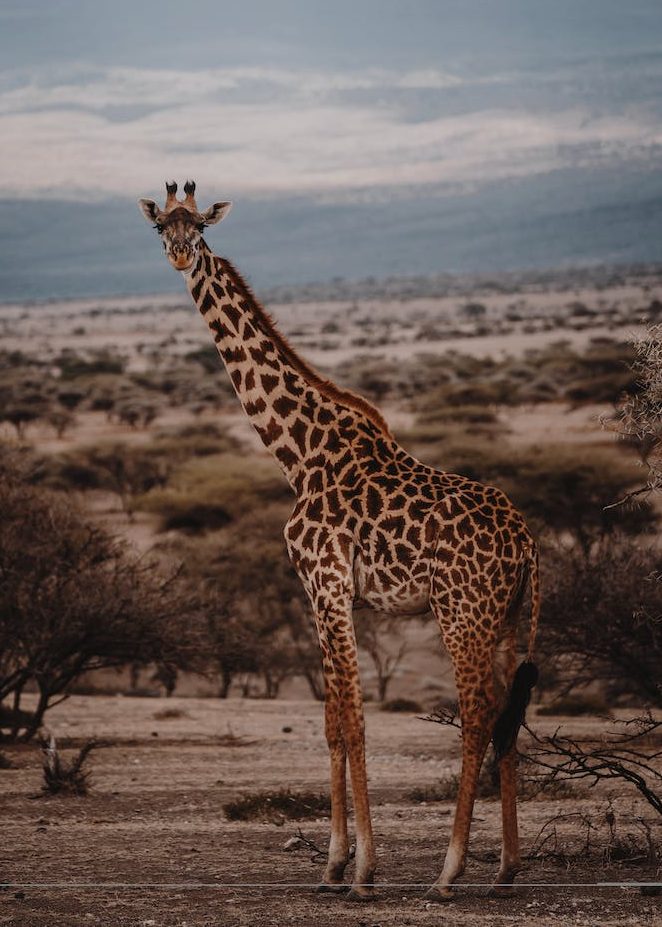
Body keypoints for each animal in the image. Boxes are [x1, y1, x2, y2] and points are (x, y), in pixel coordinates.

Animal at [139, 183, 540, 908]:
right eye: (162, 227)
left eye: (200, 228)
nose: (181, 256)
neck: (297, 454)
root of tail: (527, 542)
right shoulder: (322, 593)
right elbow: (331, 721)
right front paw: (332, 863)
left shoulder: (326, 583)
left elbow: (352, 720)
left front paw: (361, 870)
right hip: (504, 618)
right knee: (505, 716)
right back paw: (504, 869)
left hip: (461, 612)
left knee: (475, 716)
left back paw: (449, 872)